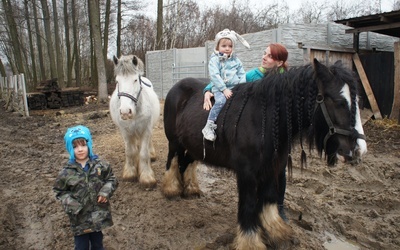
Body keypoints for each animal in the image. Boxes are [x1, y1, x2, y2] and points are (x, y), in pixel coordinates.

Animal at [110, 54, 160, 188]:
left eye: (135, 80)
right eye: (117, 81)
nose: (125, 111)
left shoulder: (146, 129)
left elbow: (143, 153)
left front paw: (147, 177)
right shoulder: (125, 132)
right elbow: (130, 151)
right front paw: (130, 172)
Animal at [161, 58, 368, 248]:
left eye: (357, 102)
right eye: (340, 102)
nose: (358, 150)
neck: (263, 119)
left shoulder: (272, 167)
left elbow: (269, 199)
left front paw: (278, 232)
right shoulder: (247, 173)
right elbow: (249, 205)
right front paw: (250, 241)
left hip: (192, 145)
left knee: (187, 162)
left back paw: (190, 189)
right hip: (174, 142)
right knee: (172, 161)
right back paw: (171, 190)